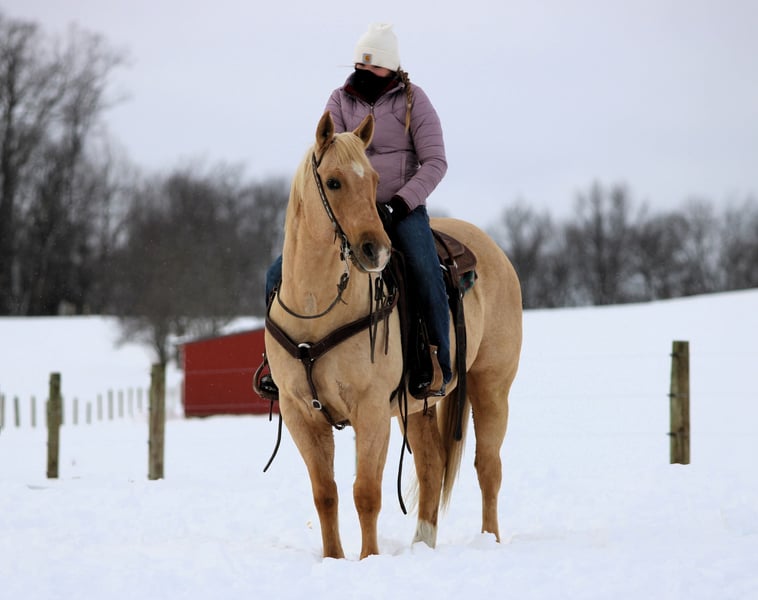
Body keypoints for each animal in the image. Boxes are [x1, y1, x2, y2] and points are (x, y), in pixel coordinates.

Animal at [264, 111, 522, 559]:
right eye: (333, 181)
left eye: (372, 180)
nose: (376, 251)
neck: (317, 309)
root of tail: (495, 253)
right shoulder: (300, 413)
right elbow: (325, 493)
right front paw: (333, 559)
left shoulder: (369, 410)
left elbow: (366, 492)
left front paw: (369, 559)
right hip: (416, 407)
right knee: (431, 464)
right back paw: (423, 544)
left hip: (491, 388)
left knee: (488, 468)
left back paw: (489, 540)